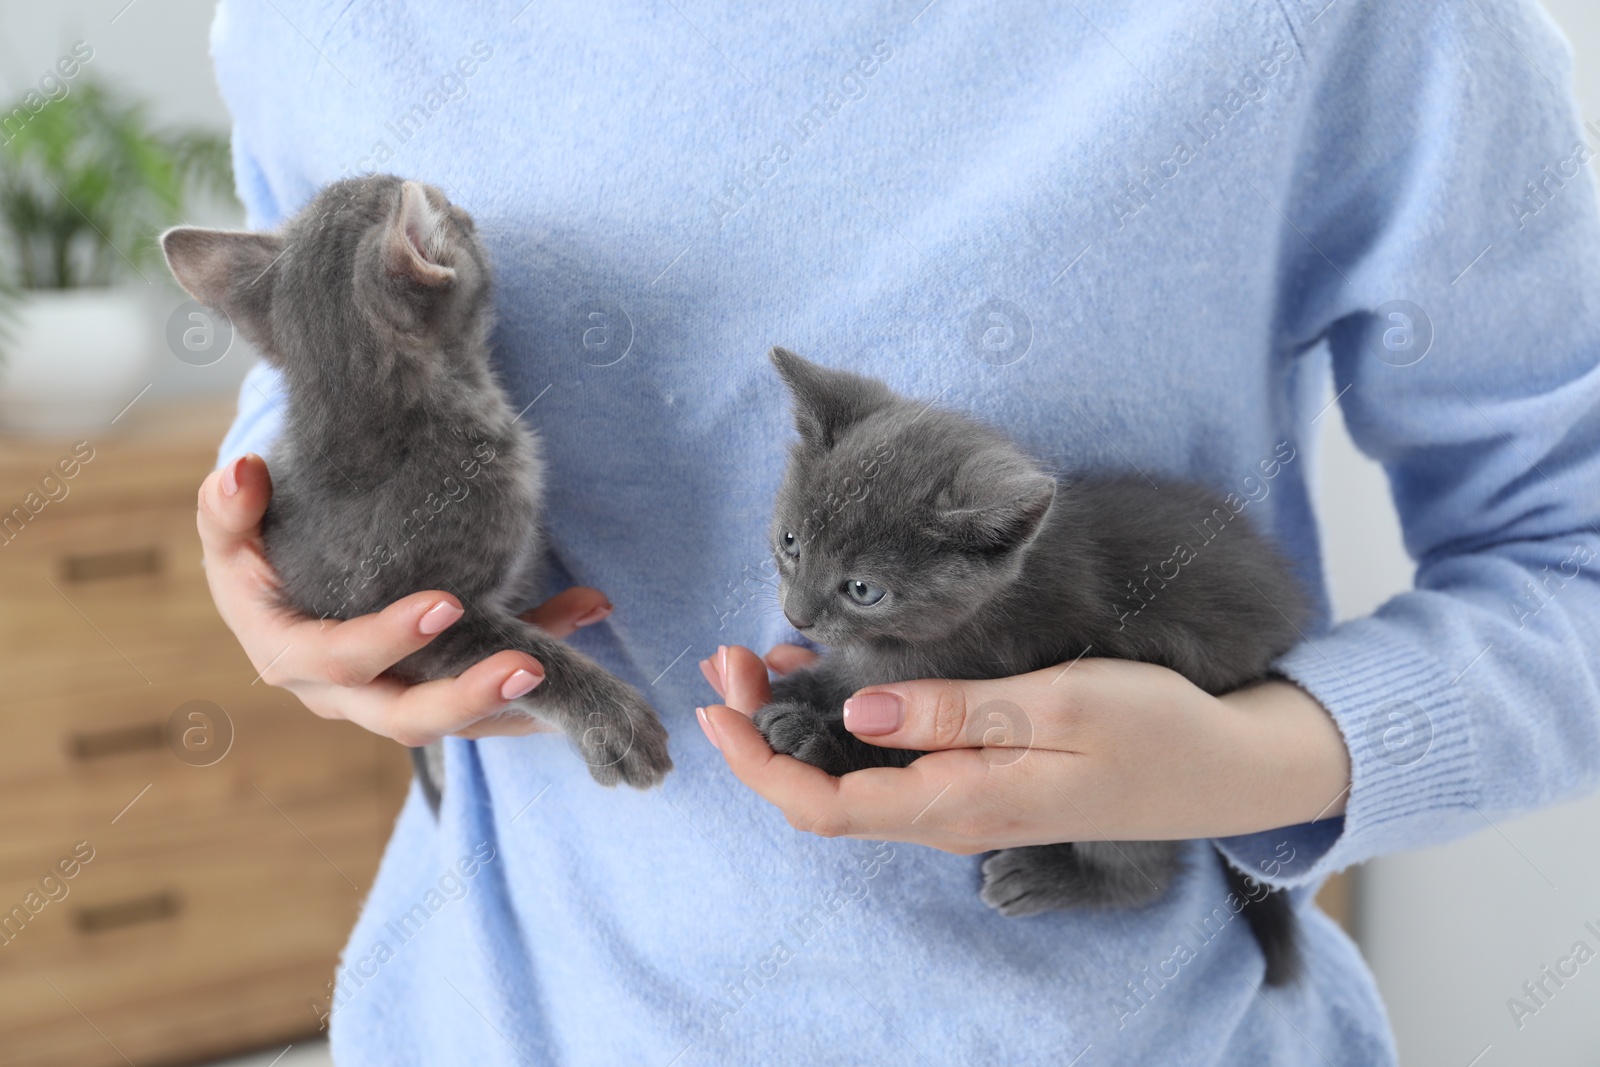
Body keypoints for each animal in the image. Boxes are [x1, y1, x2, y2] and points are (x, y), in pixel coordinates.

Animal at [755, 348, 1305, 985]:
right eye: (791, 541)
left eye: (863, 589)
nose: (796, 615)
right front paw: (799, 685)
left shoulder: (1004, 674)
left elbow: (894, 743)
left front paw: (810, 732)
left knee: (1148, 873)